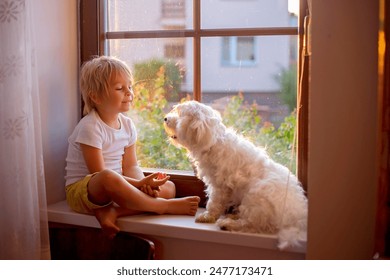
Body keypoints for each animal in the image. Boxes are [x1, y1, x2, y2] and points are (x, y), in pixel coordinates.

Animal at [163, 100, 306, 249]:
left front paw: (207, 216)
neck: (213, 142)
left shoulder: (219, 186)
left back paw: (228, 224)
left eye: (180, 115)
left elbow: (214, 202)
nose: (165, 118)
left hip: (256, 196)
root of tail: (296, 218)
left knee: (251, 224)